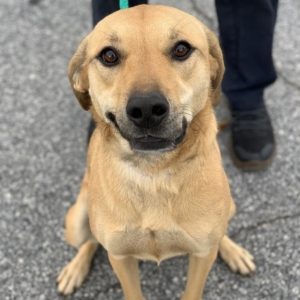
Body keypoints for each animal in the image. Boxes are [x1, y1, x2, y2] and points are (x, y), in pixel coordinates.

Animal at [56, 4, 255, 298]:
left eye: (181, 49)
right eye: (108, 55)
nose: (146, 108)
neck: (154, 172)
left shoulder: (201, 255)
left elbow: (195, 285)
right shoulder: (120, 257)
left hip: (229, 209)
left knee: (220, 234)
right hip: (77, 222)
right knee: (89, 240)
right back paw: (75, 267)